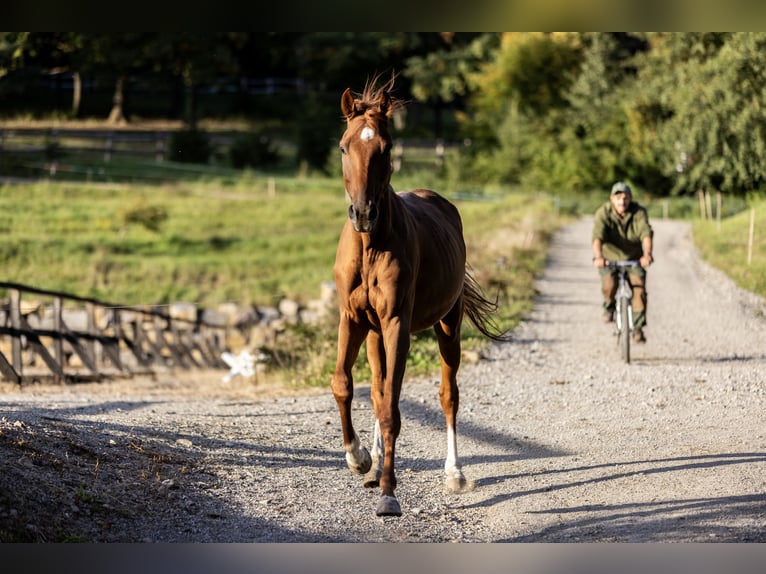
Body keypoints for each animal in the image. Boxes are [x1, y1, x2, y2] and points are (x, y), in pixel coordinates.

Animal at [330, 77, 510, 516]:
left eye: (386, 148)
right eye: (343, 147)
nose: (363, 213)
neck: (370, 246)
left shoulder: (397, 324)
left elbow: (392, 410)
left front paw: (388, 493)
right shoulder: (352, 319)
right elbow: (345, 385)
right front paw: (358, 458)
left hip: (448, 326)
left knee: (448, 396)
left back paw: (454, 473)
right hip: (375, 334)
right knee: (376, 389)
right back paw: (374, 463)